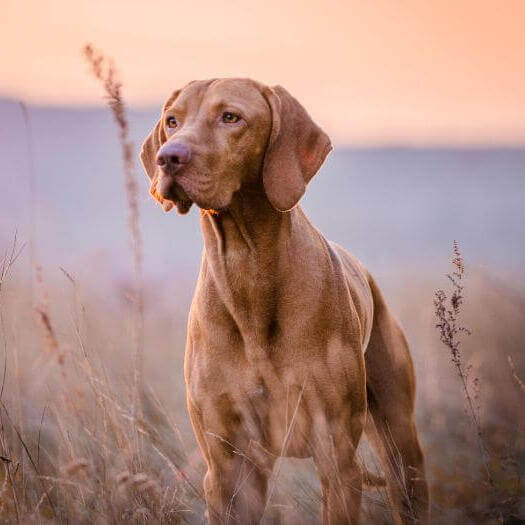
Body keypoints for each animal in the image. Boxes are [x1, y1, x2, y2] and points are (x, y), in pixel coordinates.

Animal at [141, 79, 428, 524]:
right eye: (172, 121)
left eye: (231, 117)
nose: (168, 156)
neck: (248, 272)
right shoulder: (228, 467)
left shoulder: (336, 456)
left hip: (400, 443)